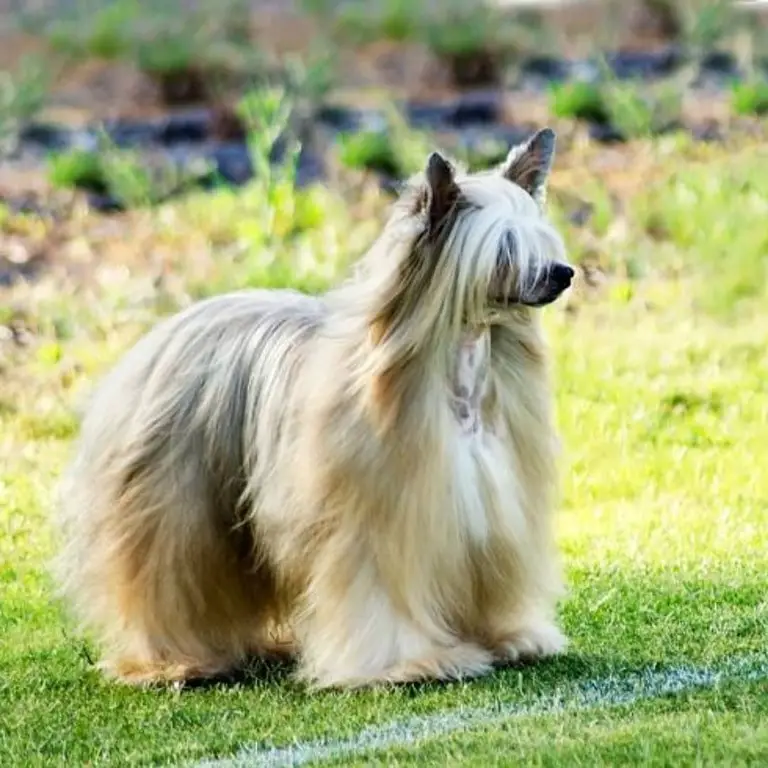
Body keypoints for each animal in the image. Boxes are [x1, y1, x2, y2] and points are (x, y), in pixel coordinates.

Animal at [54, 127, 572, 688]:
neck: (458, 372)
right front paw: (409, 663)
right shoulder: (376, 523)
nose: (565, 273)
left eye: (541, 239)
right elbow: (378, 594)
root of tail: (165, 331)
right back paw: (175, 662)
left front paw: (508, 638)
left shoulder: (489, 515)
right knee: (166, 581)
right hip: (172, 507)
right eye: (506, 248)